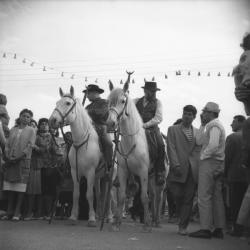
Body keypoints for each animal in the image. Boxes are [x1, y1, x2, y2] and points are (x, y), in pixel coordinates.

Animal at [48, 86, 104, 227]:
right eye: (57, 103)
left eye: (68, 103)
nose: (52, 121)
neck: (81, 142)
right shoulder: (75, 172)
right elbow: (76, 194)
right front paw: (73, 217)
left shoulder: (90, 172)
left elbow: (89, 194)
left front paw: (91, 219)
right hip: (97, 177)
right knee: (99, 193)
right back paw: (99, 215)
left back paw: (107, 217)